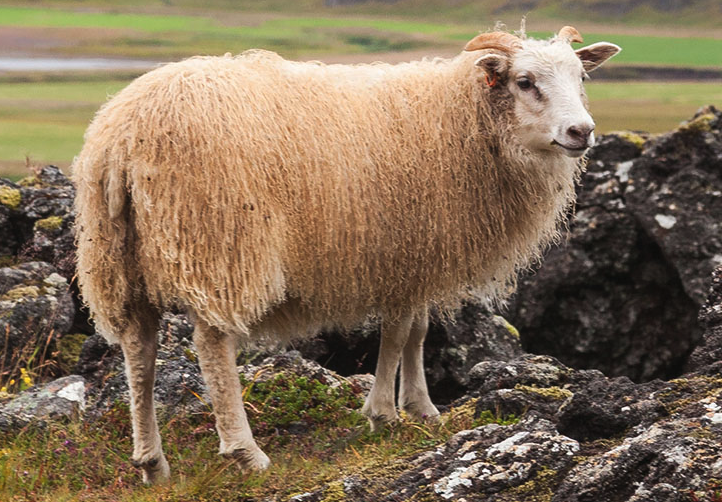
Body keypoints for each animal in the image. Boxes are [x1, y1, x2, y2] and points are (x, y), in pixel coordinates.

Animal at [71, 26, 620, 482]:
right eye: (525, 81)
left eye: (581, 77)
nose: (582, 132)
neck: (459, 118)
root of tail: (122, 138)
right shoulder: (401, 249)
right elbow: (397, 334)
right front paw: (382, 413)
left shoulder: (419, 254)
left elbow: (418, 332)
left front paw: (421, 408)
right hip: (220, 243)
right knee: (211, 346)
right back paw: (246, 452)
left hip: (118, 258)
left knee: (139, 350)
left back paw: (152, 463)